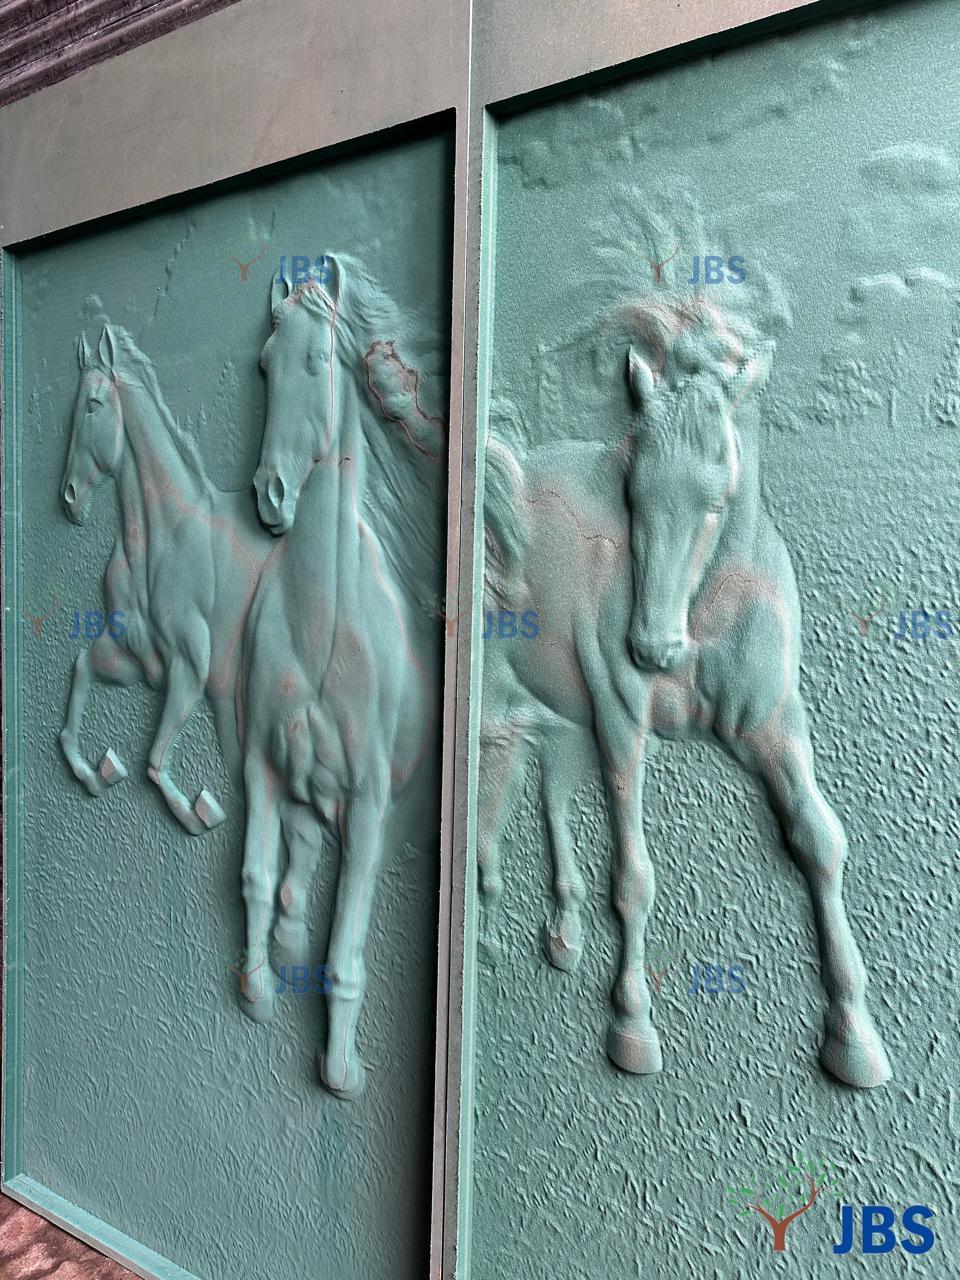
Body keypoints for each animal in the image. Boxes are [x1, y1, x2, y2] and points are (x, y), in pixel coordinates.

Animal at [60, 326, 273, 832]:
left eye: (92, 405)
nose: (70, 496)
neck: (162, 540)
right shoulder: (133, 658)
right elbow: (81, 670)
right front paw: (97, 771)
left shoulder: (190, 666)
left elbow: (155, 760)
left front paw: (197, 813)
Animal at [479, 297, 891, 1090]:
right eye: (633, 493)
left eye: (718, 497)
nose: (652, 648)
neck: (707, 613)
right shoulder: (619, 719)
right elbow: (634, 875)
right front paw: (632, 1028)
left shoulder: (772, 723)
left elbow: (820, 839)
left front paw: (855, 1037)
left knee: (548, 789)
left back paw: (561, 935)